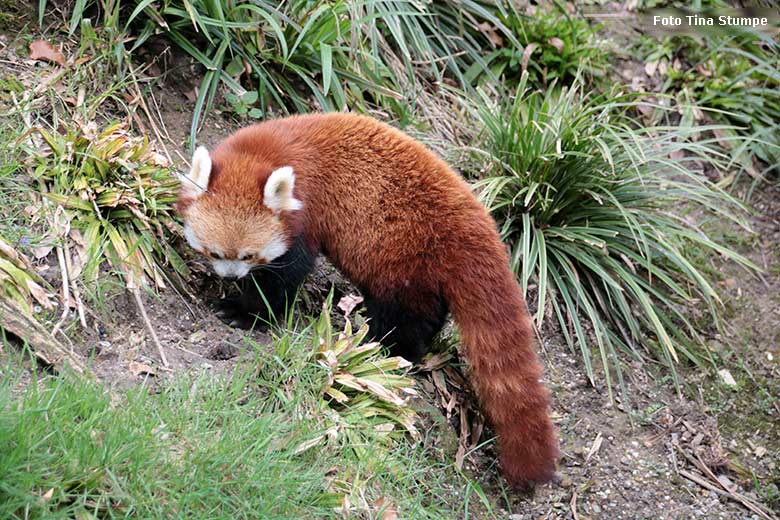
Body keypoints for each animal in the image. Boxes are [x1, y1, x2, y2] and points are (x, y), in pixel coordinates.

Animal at [176, 111, 556, 486]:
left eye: (249, 256)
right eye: (213, 251)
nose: (230, 277)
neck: (265, 152)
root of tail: (474, 224)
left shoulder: (306, 217)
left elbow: (283, 279)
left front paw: (244, 311)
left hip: (403, 257)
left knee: (402, 315)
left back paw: (387, 348)